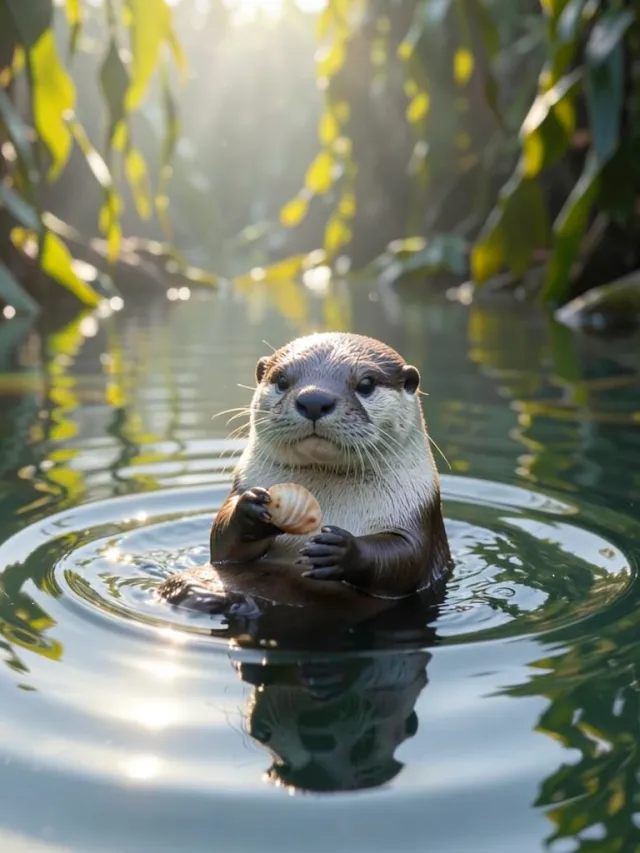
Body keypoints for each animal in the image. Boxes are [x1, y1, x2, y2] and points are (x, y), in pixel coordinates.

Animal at [158, 332, 451, 624]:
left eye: (366, 383)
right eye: (282, 380)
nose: (313, 399)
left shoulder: (418, 513)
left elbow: (404, 560)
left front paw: (341, 552)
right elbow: (222, 545)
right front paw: (250, 511)